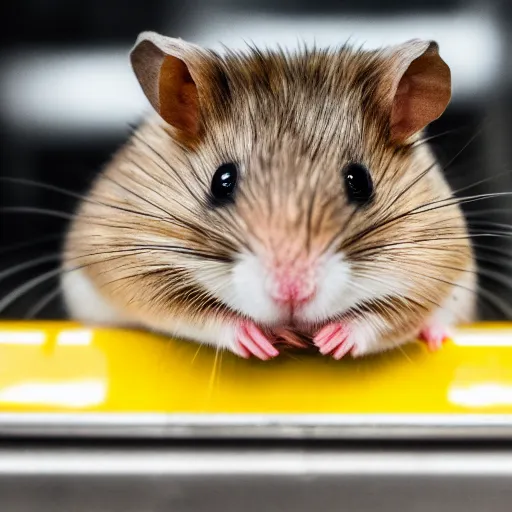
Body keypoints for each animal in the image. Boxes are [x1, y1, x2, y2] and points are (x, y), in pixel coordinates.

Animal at [60, 32, 476, 360]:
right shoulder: (129, 264)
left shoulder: (433, 264)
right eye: (222, 181)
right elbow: (192, 312)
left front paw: (329, 341)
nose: (292, 293)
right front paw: (268, 339)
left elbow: (389, 316)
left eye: (360, 181)